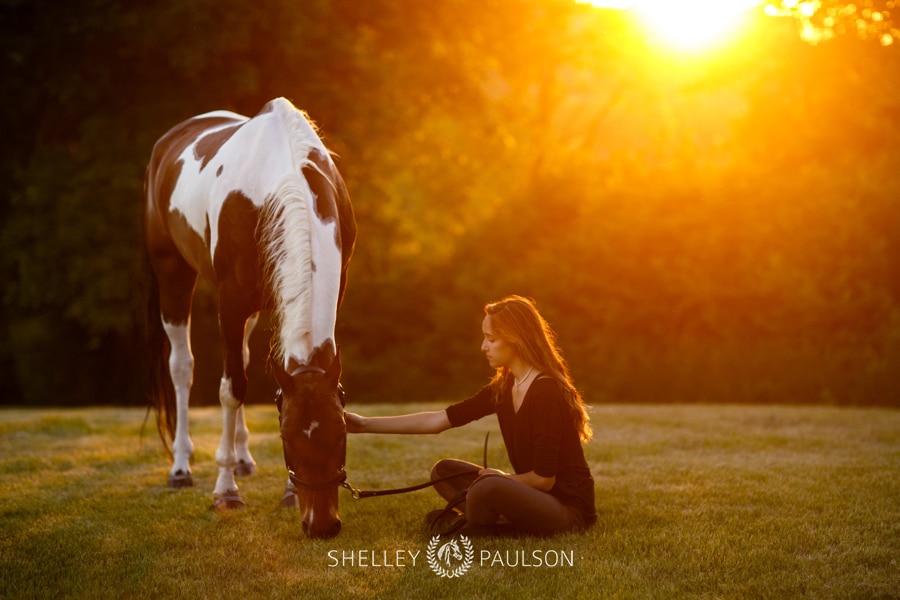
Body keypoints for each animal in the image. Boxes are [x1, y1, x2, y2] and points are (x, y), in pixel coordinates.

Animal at [143, 98, 356, 540]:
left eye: (342, 433)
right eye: (287, 439)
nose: (322, 525)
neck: (282, 179)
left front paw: (286, 492)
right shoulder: (231, 302)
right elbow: (231, 389)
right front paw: (226, 492)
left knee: (238, 358)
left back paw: (242, 459)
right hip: (173, 276)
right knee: (183, 368)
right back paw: (181, 466)